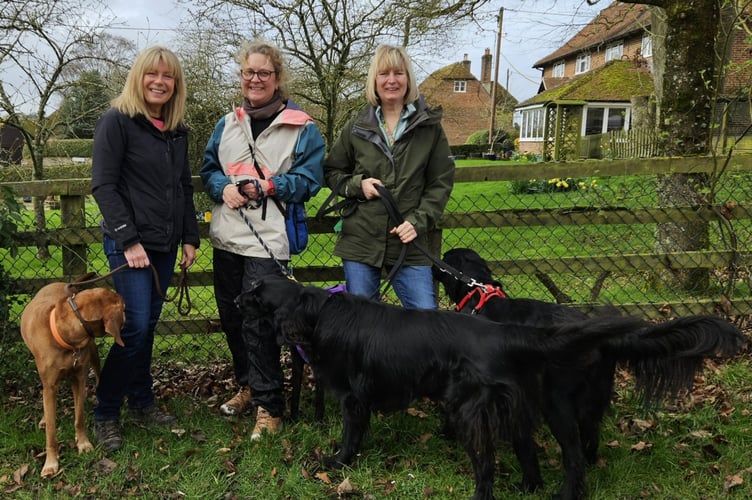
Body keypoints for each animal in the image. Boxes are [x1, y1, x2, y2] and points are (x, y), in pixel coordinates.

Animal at [20, 284, 125, 478]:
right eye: (123, 308)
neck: (66, 338)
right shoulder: (50, 385)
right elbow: (51, 431)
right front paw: (50, 463)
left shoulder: (79, 378)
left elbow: (79, 417)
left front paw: (83, 444)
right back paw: (44, 419)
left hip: (93, 353)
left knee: (99, 376)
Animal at [238, 278, 744, 500]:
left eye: (256, 293)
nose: (238, 298)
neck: (317, 312)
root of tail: (511, 334)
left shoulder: (354, 397)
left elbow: (349, 436)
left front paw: (335, 462)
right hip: (517, 406)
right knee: (531, 453)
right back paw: (528, 486)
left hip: (480, 409)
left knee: (498, 464)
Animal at [432, 248, 744, 498]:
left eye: (445, 258)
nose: (433, 265)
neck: (481, 297)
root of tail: (600, 339)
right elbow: (524, 445)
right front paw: (530, 484)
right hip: (592, 398)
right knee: (590, 440)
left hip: (557, 405)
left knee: (574, 455)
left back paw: (568, 492)